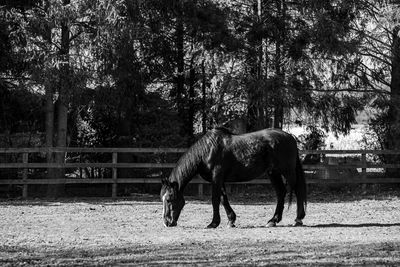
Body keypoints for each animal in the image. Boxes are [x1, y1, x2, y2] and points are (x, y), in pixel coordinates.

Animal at [159, 127, 306, 228]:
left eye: (169, 199)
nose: (167, 222)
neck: (207, 151)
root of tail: (290, 138)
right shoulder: (219, 180)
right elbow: (223, 199)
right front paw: (231, 220)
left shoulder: (217, 177)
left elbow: (215, 199)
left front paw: (213, 223)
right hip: (273, 173)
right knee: (281, 192)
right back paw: (273, 220)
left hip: (287, 171)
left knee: (298, 190)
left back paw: (298, 219)